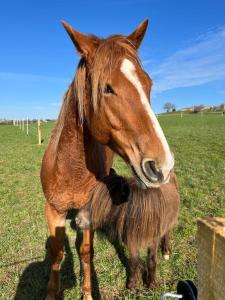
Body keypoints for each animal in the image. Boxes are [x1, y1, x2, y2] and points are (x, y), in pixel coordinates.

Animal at [40, 19, 174, 298]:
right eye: (107, 88)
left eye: (148, 84)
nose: (163, 166)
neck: (70, 169)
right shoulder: (53, 210)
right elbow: (57, 253)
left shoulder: (89, 212)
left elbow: (86, 252)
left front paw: (88, 293)